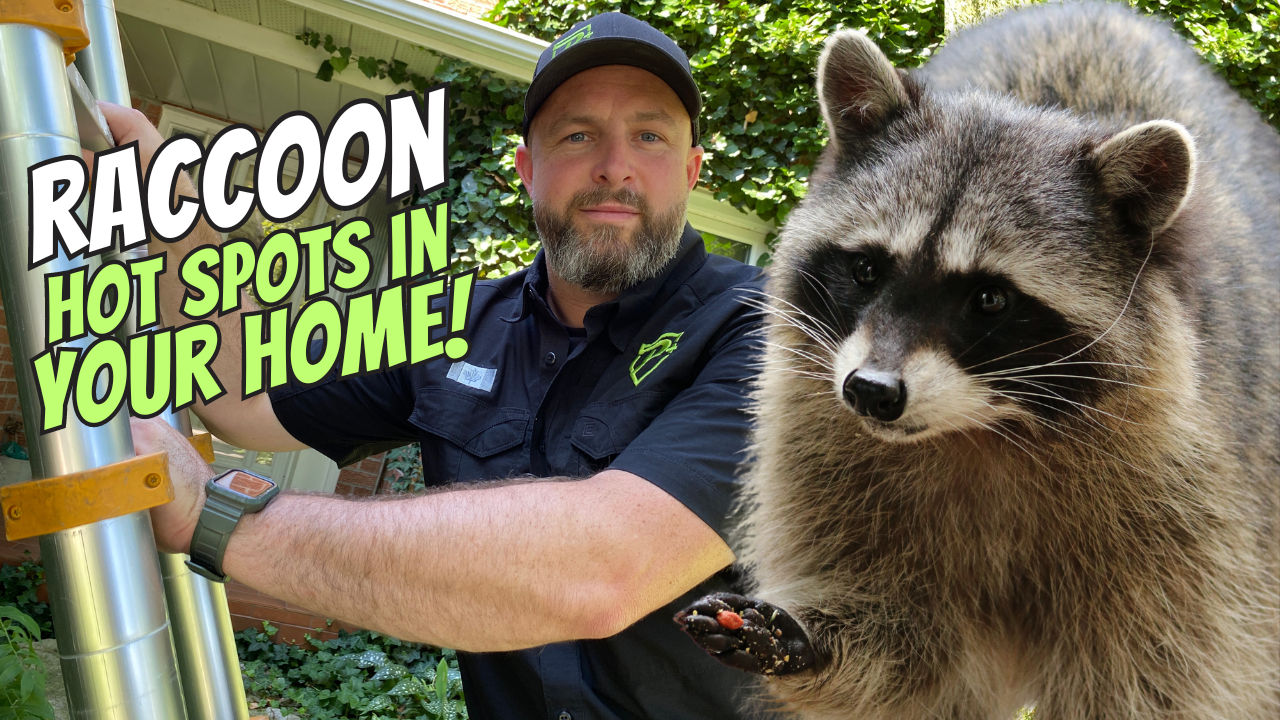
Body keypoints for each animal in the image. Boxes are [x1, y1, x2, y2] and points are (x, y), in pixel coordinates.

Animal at [675, 2, 1279, 718]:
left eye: (990, 299)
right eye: (866, 269)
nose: (870, 391)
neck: (986, 426)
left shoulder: (1191, 500)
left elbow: (1158, 676)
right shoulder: (815, 436)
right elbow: (917, 654)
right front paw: (812, 637)